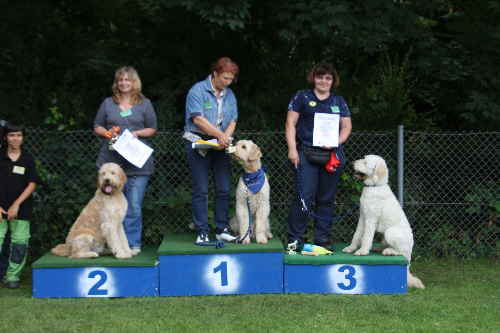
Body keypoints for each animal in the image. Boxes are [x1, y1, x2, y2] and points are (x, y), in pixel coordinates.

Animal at [344, 154, 426, 286]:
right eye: (363, 158)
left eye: (366, 162)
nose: (351, 163)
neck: (375, 186)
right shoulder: (362, 217)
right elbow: (356, 235)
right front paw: (351, 248)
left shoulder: (370, 219)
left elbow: (366, 237)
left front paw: (363, 251)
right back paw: (378, 248)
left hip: (391, 232)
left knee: (401, 252)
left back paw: (390, 251)